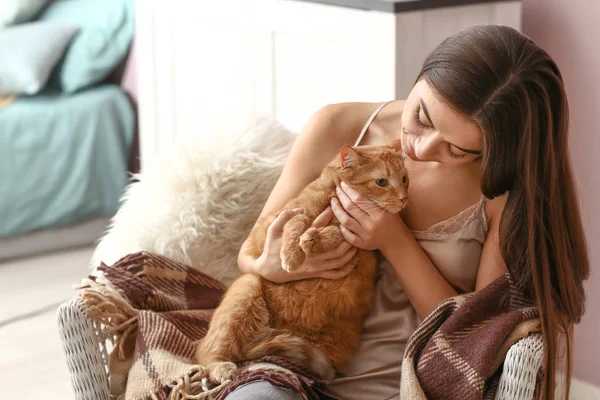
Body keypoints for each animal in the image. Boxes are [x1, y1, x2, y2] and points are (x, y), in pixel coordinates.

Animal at [195, 140, 410, 384]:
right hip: (247, 286)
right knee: (208, 352)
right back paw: (220, 368)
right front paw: (293, 255)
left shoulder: (364, 240)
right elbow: (297, 224)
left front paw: (313, 239)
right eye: (382, 181)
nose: (404, 198)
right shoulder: (290, 214)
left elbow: (340, 232)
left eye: (404, 178)